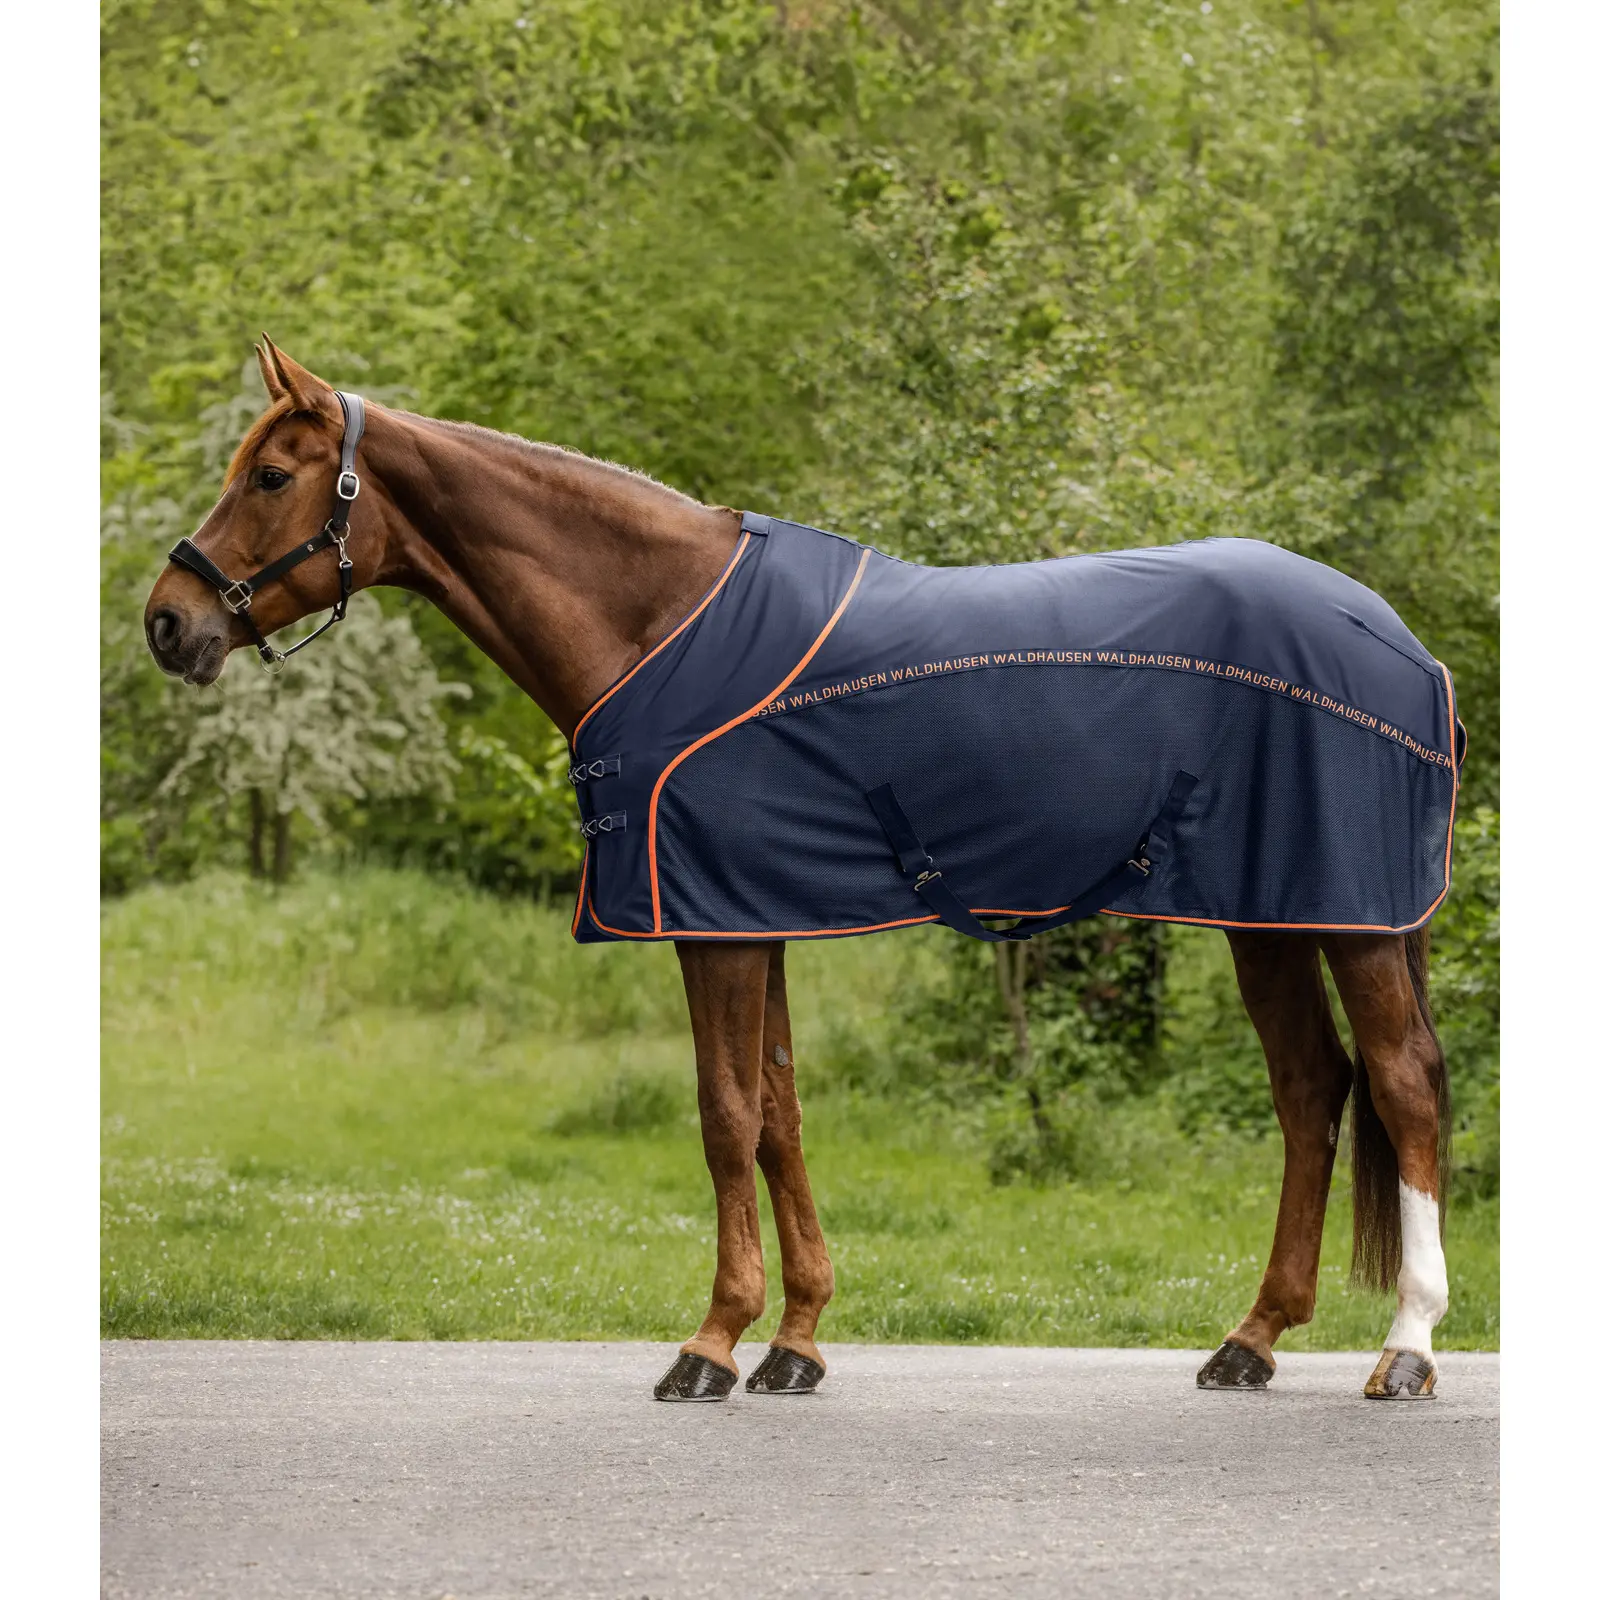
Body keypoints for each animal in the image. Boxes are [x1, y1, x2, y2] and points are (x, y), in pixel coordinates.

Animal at [144, 339, 1455, 1403]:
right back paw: (1252, 1338)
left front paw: (710, 1342)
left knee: (1399, 1086)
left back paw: (1406, 1348)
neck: (660, 621)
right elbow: (777, 1116)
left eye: (272, 477)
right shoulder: (752, 916)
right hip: (1271, 917)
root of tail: (1399, 640)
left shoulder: (713, 927)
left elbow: (725, 1117)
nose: (166, 621)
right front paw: (797, 1340)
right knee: (1310, 1091)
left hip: (1352, 919)